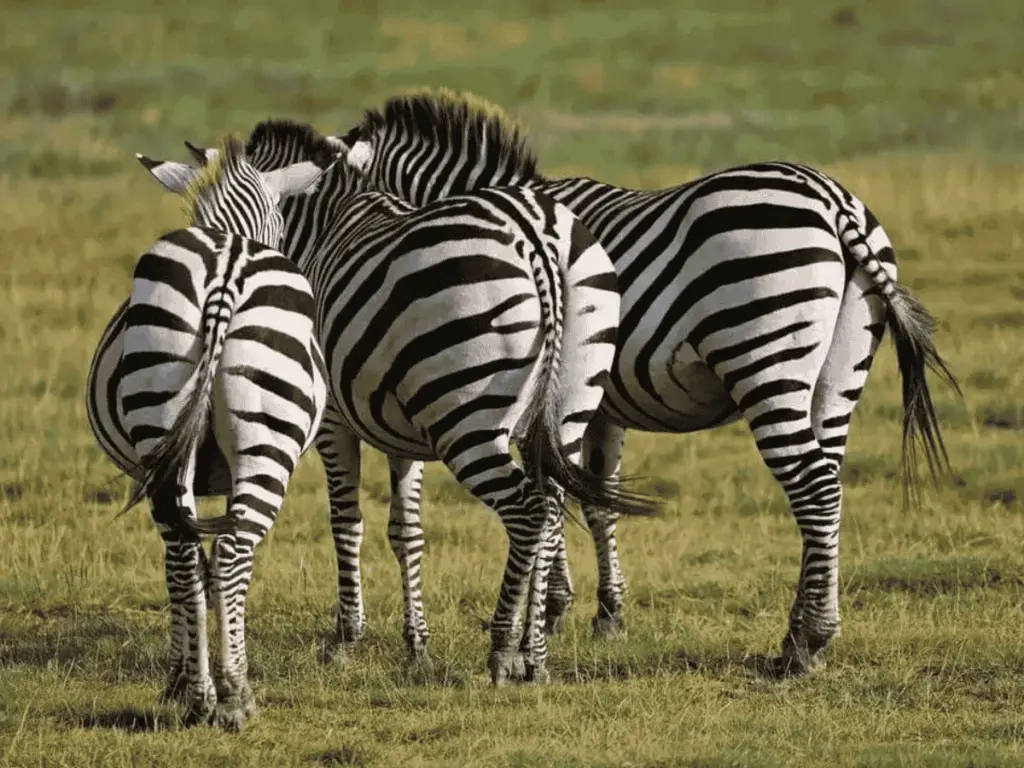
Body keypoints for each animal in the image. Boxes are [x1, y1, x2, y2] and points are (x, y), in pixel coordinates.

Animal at [86, 134, 333, 728]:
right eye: (285, 222)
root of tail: (225, 269)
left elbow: (187, 567)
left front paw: (178, 678)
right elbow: (207, 566)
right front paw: (197, 677)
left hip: (161, 417)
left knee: (184, 553)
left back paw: (199, 696)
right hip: (265, 444)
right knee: (231, 551)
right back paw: (235, 694)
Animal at [137, 119, 661, 684]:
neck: (325, 224)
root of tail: (536, 234)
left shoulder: (336, 421)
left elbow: (346, 521)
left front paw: (347, 638)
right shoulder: (400, 426)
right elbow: (406, 530)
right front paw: (416, 644)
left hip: (466, 417)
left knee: (527, 511)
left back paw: (505, 650)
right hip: (568, 403)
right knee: (553, 506)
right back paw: (533, 651)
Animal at [337, 88, 962, 675]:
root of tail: (832, 199)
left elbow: (561, 494)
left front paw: (552, 611)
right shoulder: (598, 407)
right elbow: (595, 500)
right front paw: (605, 613)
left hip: (766, 354)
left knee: (811, 486)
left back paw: (805, 644)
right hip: (840, 373)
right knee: (827, 487)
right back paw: (802, 631)